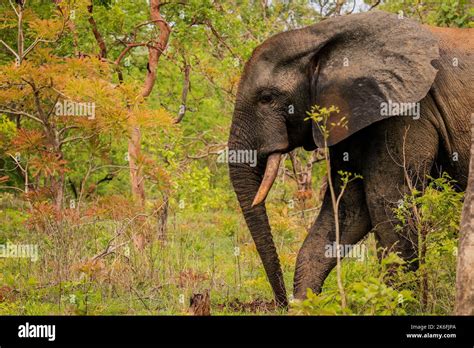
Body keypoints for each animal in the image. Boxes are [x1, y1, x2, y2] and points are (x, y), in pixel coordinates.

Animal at [228, 10, 472, 308]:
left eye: (267, 98)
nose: (282, 302)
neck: (318, 36)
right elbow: (348, 208)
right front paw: (308, 306)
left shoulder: (408, 111)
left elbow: (386, 201)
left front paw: (399, 306)